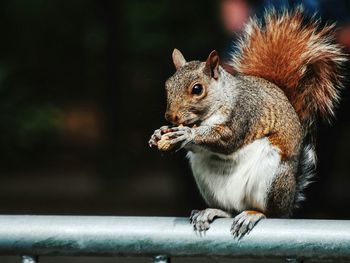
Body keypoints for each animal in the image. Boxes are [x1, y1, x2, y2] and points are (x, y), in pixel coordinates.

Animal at [149, 8, 346, 239]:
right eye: (167, 85)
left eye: (197, 89)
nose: (171, 117)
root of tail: (289, 201)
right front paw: (159, 134)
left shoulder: (245, 112)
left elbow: (228, 139)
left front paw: (187, 134)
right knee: (230, 210)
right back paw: (213, 211)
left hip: (272, 178)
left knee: (270, 213)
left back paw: (253, 214)